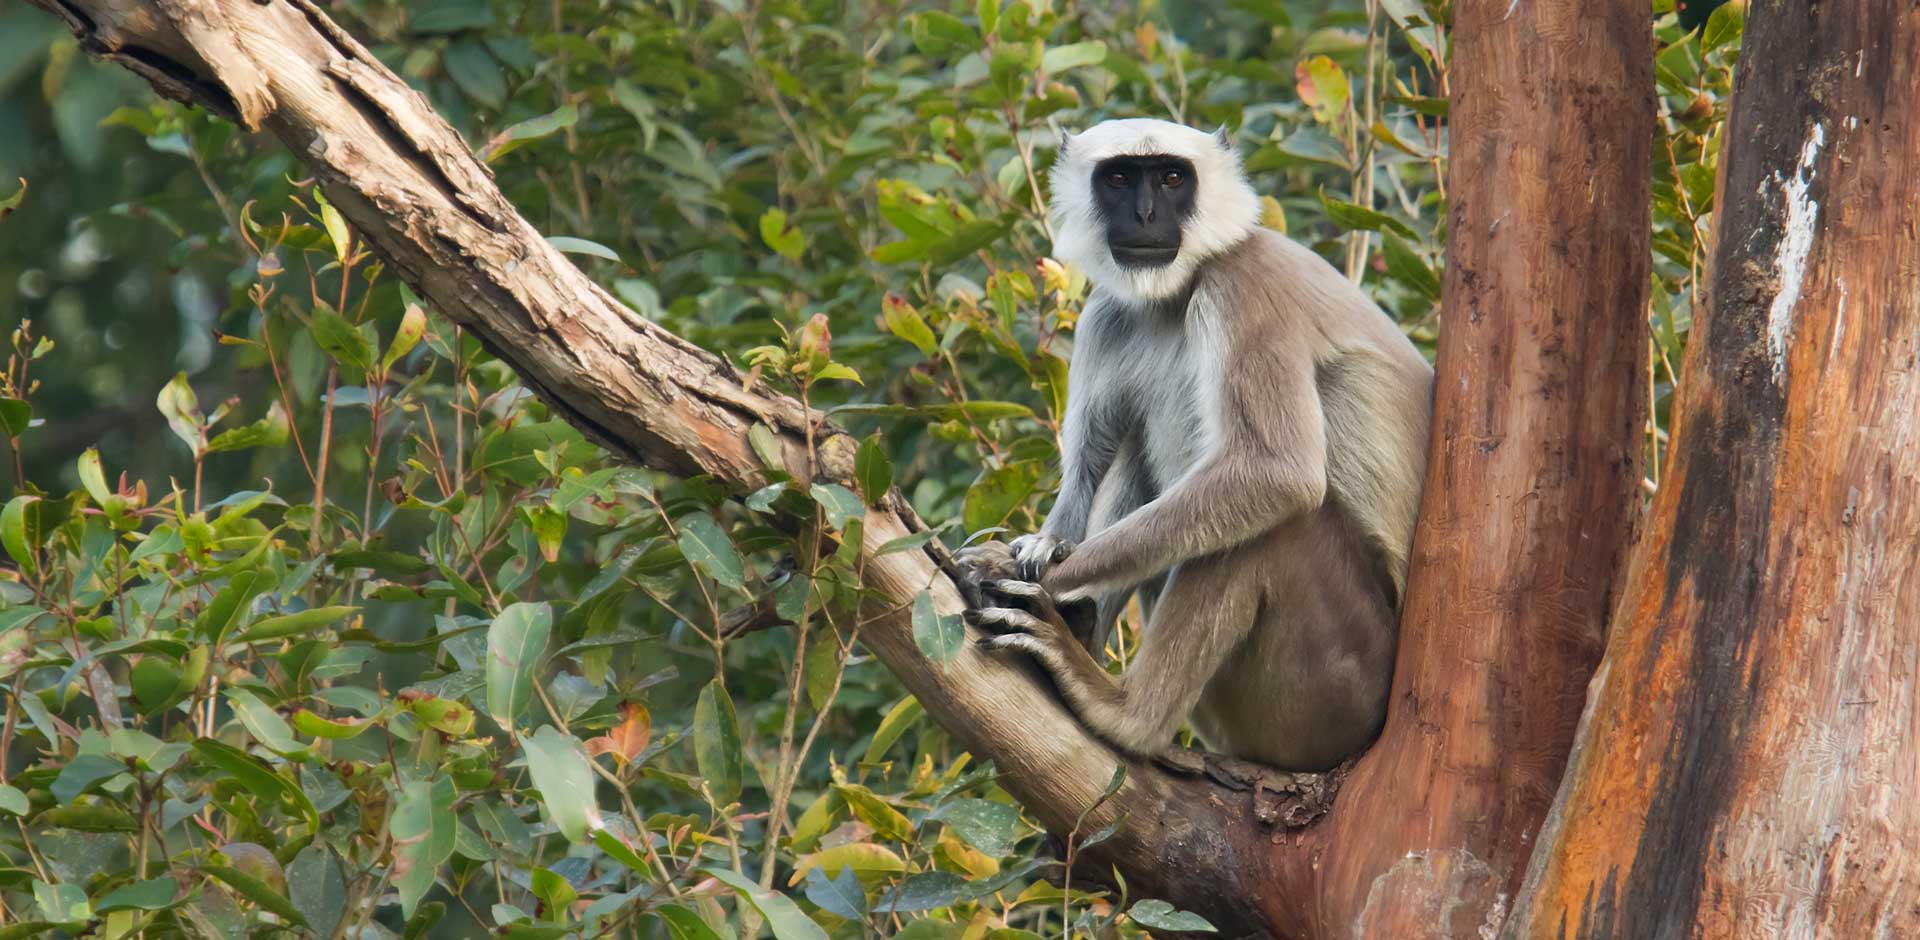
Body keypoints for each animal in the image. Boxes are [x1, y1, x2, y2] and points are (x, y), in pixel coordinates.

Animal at [956, 119, 1428, 771]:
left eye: (1173, 177)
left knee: (1270, 527)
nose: (1147, 214)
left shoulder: (1245, 283)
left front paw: (1020, 570)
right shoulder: (1106, 312)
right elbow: (1086, 469)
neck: (1179, 292)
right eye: (1120, 177)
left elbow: (1277, 473)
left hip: (1339, 689)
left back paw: (1124, 714)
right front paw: (1044, 551)